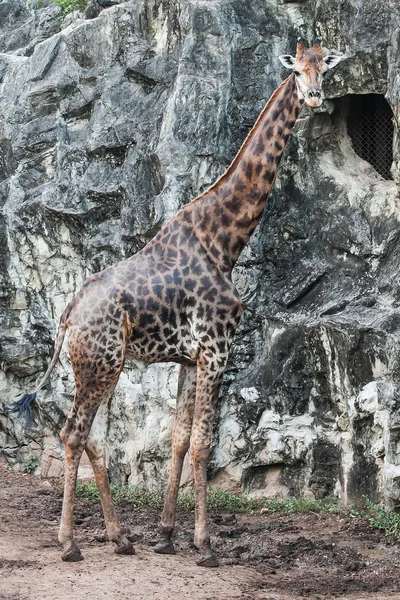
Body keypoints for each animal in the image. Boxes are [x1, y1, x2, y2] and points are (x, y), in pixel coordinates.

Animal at [10, 38, 346, 568]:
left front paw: (167, 535)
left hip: (104, 367)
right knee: (72, 434)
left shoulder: (190, 357)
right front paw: (205, 544)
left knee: (94, 439)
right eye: (296, 71)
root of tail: (67, 315)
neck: (223, 242)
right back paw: (69, 543)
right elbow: (205, 444)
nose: (314, 97)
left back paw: (120, 538)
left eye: (324, 69)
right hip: (101, 364)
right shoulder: (216, 348)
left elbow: (179, 439)